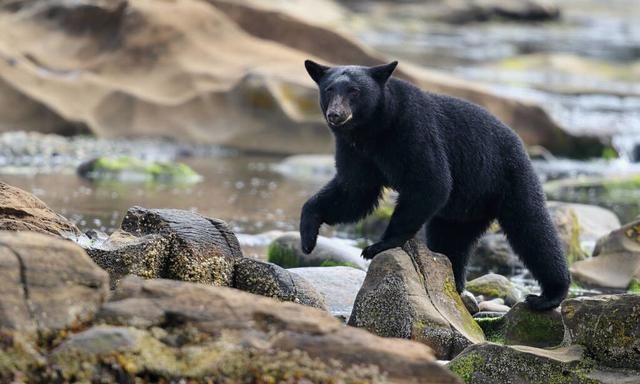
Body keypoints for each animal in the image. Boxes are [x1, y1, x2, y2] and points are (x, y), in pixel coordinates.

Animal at [298, 60, 568, 312]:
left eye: (354, 91)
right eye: (329, 89)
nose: (336, 114)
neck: (373, 129)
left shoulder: (413, 130)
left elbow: (431, 182)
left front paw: (379, 245)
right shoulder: (355, 150)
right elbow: (354, 191)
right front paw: (308, 237)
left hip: (509, 177)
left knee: (532, 229)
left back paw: (549, 295)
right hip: (463, 210)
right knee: (450, 240)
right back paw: (455, 284)